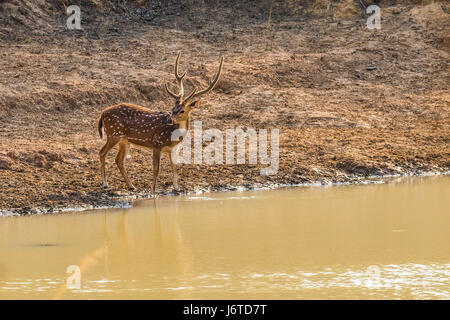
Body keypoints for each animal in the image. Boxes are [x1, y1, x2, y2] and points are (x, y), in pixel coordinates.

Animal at [99, 51, 225, 194]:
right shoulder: (156, 143)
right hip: (114, 133)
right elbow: (156, 169)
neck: (173, 136)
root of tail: (102, 114)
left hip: (124, 140)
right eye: (172, 108)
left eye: (182, 110)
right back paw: (105, 184)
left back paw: (131, 185)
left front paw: (177, 188)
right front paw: (152, 191)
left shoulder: (171, 149)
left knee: (118, 160)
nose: (170, 119)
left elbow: (174, 167)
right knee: (102, 153)